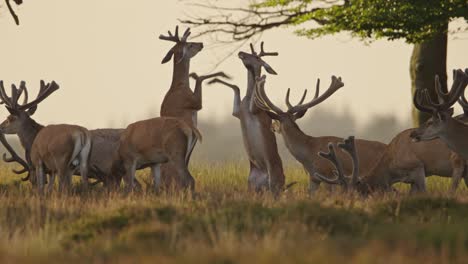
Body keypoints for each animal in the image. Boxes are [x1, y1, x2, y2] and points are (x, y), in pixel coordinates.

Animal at [158, 25, 229, 189]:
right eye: (189, 45)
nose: (201, 44)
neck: (180, 86)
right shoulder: (194, 103)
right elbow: (200, 78)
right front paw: (220, 74)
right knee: (181, 177)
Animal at [207, 41, 286, 194]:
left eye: (257, 57)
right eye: (252, 53)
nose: (241, 53)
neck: (248, 99)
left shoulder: (255, 110)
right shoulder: (237, 113)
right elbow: (236, 86)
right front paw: (213, 80)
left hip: (273, 182)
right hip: (252, 184)